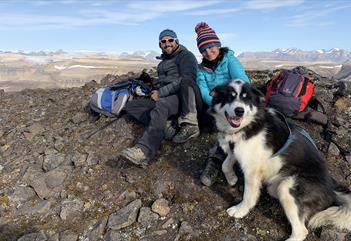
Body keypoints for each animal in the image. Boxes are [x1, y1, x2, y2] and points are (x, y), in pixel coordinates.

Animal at [210, 79, 350, 241]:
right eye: (229, 97)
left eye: (247, 99)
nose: (240, 111)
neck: (248, 126)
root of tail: (331, 189)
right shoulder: (237, 150)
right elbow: (225, 165)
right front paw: (232, 178)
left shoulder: (252, 170)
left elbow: (248, 196)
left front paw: (240, 210)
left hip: (288, 188)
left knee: (301, 231)